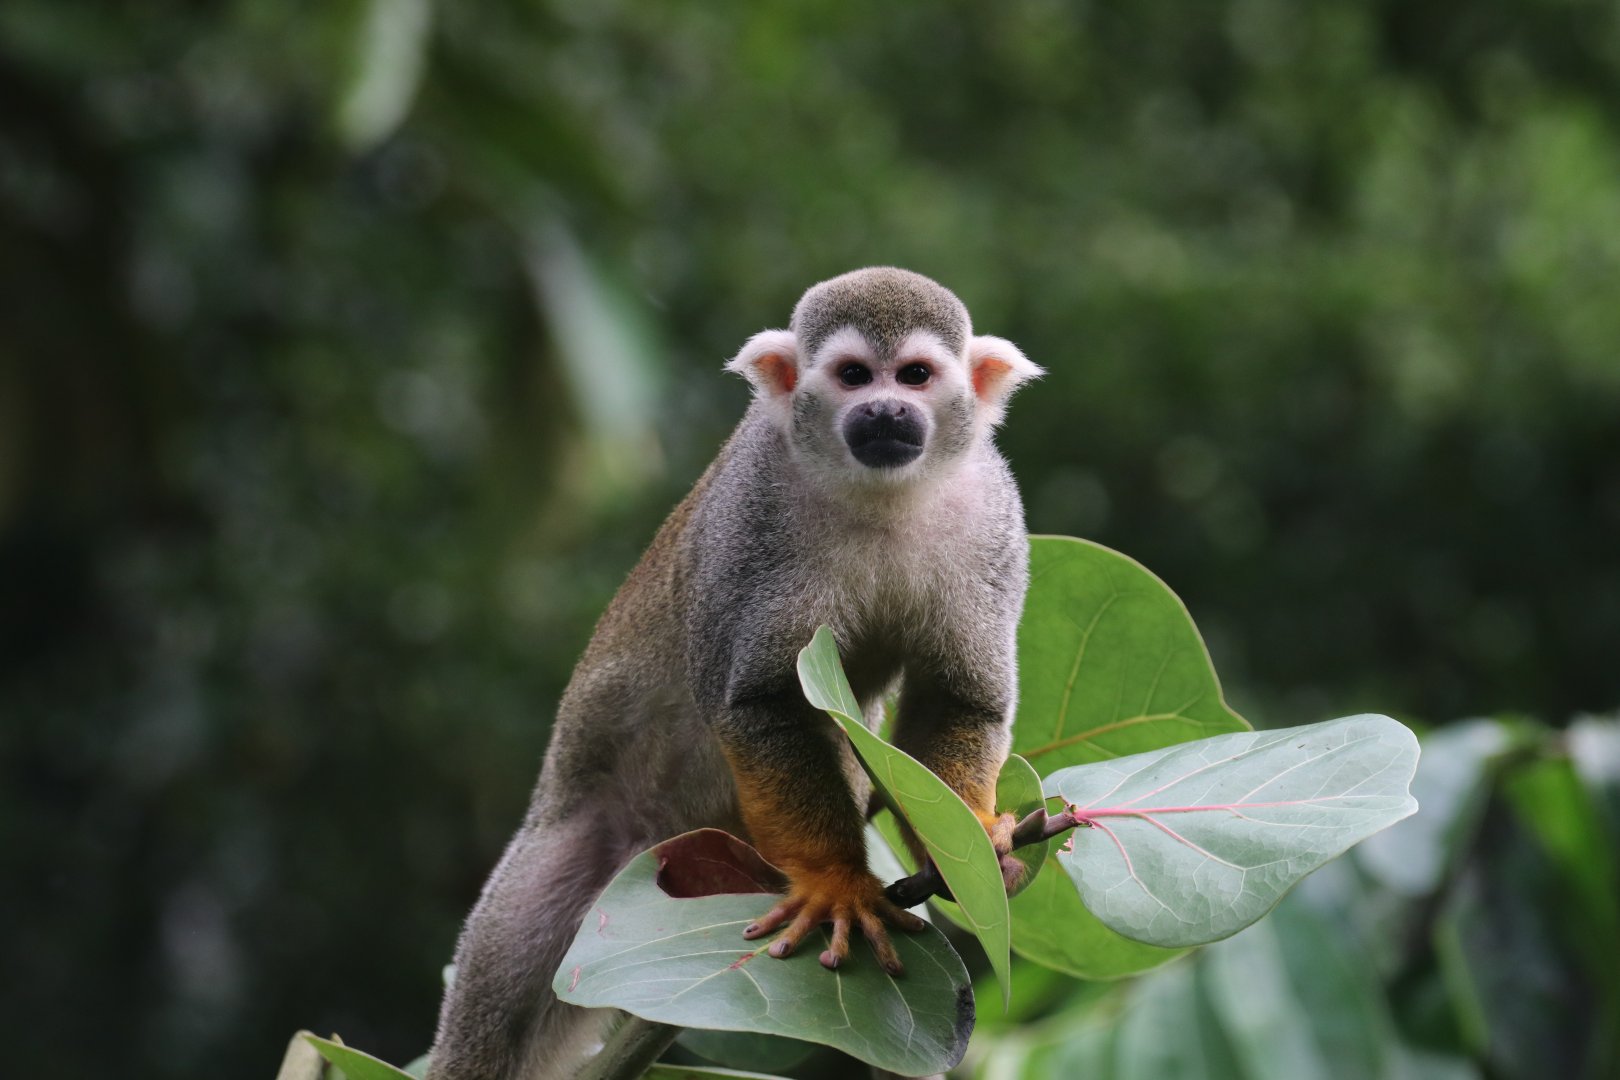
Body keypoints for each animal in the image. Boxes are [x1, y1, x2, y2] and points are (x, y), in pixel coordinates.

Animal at [425, 267, 1043, 1080]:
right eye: (853, 375)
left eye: (914, 375)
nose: (884, 409)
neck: (880, 494)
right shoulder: (751, 513)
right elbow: (759, 699)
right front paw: (836, 883)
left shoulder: (994, 518)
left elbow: (958, 701)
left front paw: (973, 839)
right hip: (586, 850)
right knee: (506, 982)